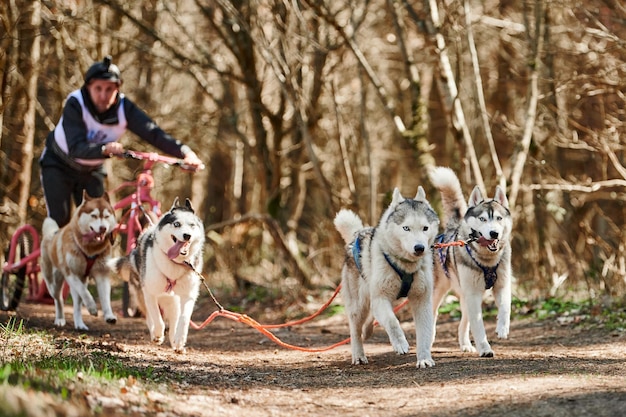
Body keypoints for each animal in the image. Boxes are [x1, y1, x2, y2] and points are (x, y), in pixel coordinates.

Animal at [40, 190, 117, 330]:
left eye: (107, 216)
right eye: (94, 215)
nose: (103, 228)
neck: (90, 250)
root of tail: (52, 233)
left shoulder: (102, 273)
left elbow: (105, 297)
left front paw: (109, 315)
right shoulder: (71, 273)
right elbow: (85, 293)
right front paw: (92, 308)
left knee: (77, 305)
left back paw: (79, 324)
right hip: (53, 283)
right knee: (59, 299)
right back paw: (60, 319)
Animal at [108, 198, 204, 352]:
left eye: (192, 225)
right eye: (176, 224)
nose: (187, 235)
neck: (175, 262)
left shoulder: (188, 295)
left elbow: (183, 319)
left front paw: (179, 339)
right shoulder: (150, 293)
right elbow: (157, 318)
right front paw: (158, 333)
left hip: (173, 301)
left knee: (174, 319)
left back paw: (175, 341)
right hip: (141, 294)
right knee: (149, 316)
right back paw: (155, 334)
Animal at [332, 187, 438, 366]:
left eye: (425, 228)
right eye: (406, 228)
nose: (419, 248)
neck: (405, 265)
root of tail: (356, 235)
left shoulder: (422, 301)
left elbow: (424, 334)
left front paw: (424, 359)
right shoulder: (381, 298)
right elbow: (392, 321)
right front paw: (400, 343)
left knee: (370, 318)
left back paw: (367, 330)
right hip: (359, 305)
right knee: (355, 329)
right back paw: (358, 355)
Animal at [428, 167, 512, 356]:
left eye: (499, 218)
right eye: (482, 219)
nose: (494, 233)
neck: (487, 260)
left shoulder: (502, 285)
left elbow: (505, 307)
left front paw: (502, 329)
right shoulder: (473, 294)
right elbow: (478, 326)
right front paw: (485, 348)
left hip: (466, 296)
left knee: (463, 323)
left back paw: (465, 344)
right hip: (439, 292)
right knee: (433, 315)